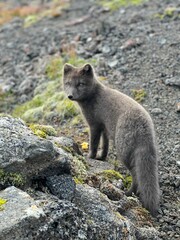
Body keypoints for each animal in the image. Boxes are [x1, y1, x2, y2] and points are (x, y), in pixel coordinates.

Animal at [62, 62, 160, 217]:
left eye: (80, 83)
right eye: (68, 83)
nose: (70, 95)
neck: (94, 97)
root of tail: (143, 127)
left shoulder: (94, 125)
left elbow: (94, 144)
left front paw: (90, 156)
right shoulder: (104, 127)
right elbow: (105, 144)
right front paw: (101, 157)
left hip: (123, 151)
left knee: (135, 175)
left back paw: (129, 192)